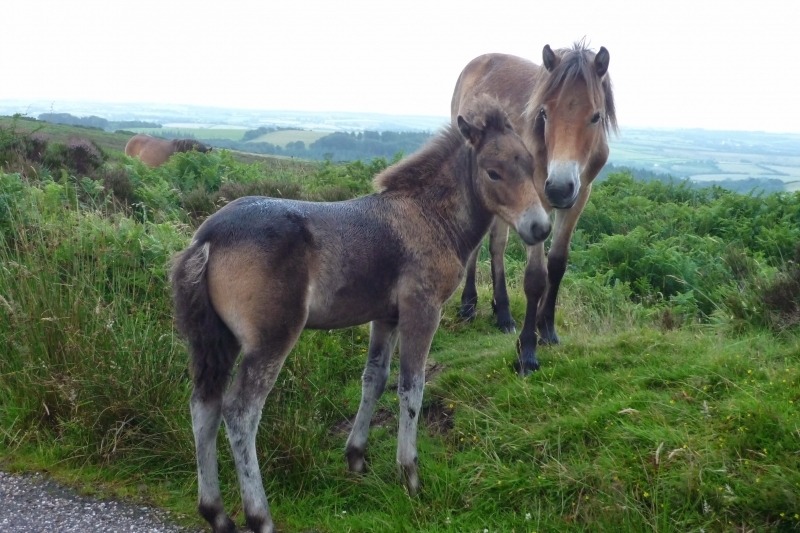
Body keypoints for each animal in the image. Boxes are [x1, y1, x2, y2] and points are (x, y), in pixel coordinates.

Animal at [170, 96, 552, 532]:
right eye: (493, 171)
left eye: (530, 164)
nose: (540, 227)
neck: (429, 216)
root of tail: (207, 238)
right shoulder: (423, 307)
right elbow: (411, 386)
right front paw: (410, 475)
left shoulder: (385, 316)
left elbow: (374, 378)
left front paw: (356, 458)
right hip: (270, 338)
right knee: (240, 412)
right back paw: (259, 515)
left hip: (216, 338)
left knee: (204, 404)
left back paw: (216, 513)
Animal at [450, 40, 620, 374]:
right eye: (544, 113)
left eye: (595, 116)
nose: (558, 188)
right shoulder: (536, 198)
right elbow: (535, 277)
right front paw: (527, 351)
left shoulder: (579, 197)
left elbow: (557, 264)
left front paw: (547, 329)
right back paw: (469, 304)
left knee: (497, 244)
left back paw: (502, 314)